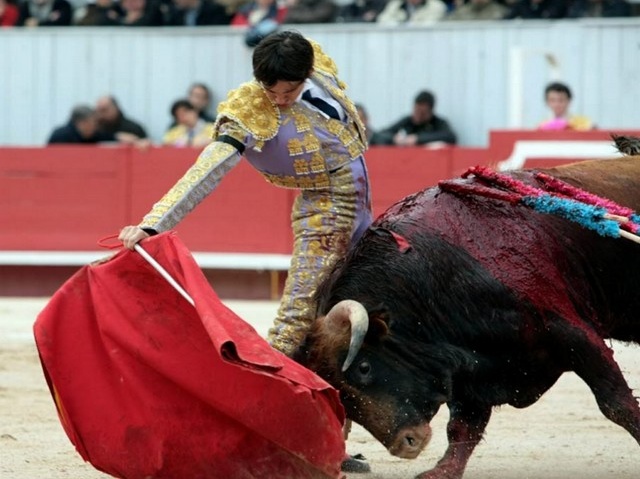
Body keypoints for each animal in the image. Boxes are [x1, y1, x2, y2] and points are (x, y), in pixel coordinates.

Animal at [296, 137, 640, 478]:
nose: (407, 444)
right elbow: (463, 426)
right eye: (337, 390)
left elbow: (616, 403)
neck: (433, 278)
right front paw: (443, 471)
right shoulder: (470, 366)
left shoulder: (570, 331)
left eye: (364, 367)